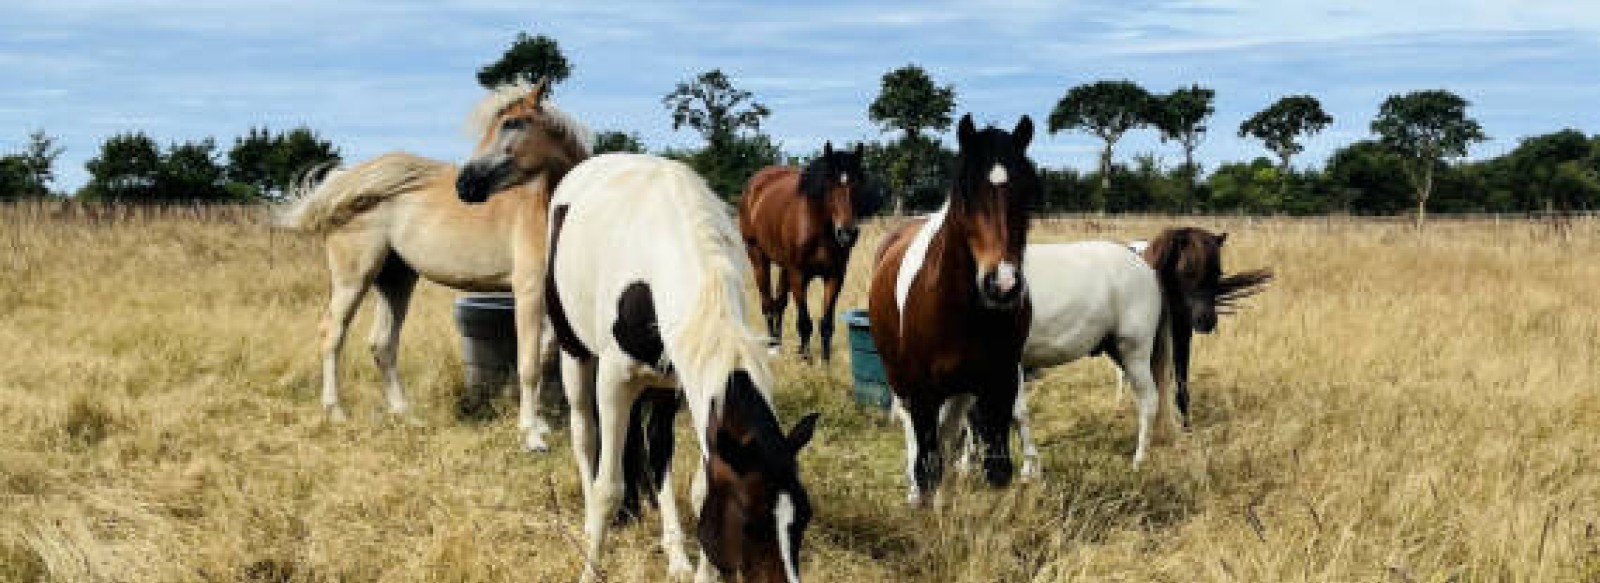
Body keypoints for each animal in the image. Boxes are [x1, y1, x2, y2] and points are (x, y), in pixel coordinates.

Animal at [280, 78, 588, 451]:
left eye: (512, 123)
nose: (465, 186)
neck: (547, 206)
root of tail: (342, 183)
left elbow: (543, 356)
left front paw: (539, 425)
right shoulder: (527, 291)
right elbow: (528, 363)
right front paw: (530, 435)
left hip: (395, 280)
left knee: (382, 344)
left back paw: (405, 415)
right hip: (353, 279)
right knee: (333, 334)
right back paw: (336, 412)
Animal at [492, 151, 819, 583]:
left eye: (804, 517)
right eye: (750, 523)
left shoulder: (684, 382)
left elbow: (695, 483)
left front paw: (693, 567)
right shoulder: (614, 379)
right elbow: (607, 487)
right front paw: (591, 568)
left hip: (660, 387)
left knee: (653, 444)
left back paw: (671, 547)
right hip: (575, 352)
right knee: (584, 432)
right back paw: (592, 517)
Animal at [732, 140, 876, 360]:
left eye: (858, 184)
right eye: (829, 185)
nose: (847, 234)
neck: (819, 228)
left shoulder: (835, 276)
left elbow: (826, 324)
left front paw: (825, 362)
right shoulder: (798, 274)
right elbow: (805, 322)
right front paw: (806, 359)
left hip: (784, 268)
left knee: (780, 302)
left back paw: (779, 343)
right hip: (757, 256)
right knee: (767, 303)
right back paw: (772, 346)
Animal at [870, 115, 1043, 506]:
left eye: (1027, 192)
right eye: (966, 193)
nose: (1002, 284)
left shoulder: (999, 384)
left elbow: (997, 469)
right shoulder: (921, 390)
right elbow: (927, 466)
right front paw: (925, 502)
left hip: (960, 391)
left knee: (947, 436)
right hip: (902, 380)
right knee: (917, 440)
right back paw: (915, 493)